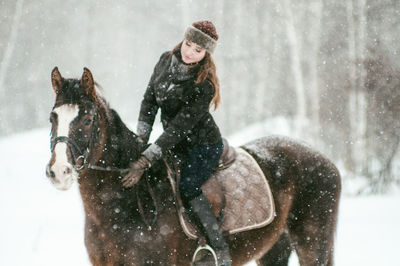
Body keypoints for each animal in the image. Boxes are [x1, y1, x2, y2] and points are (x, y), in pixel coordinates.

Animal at [46, 67, 340, 266]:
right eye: (53, 117)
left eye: (87, 120)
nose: (59, 172)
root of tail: (326, 160)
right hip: (274, 248)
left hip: (313, 244)